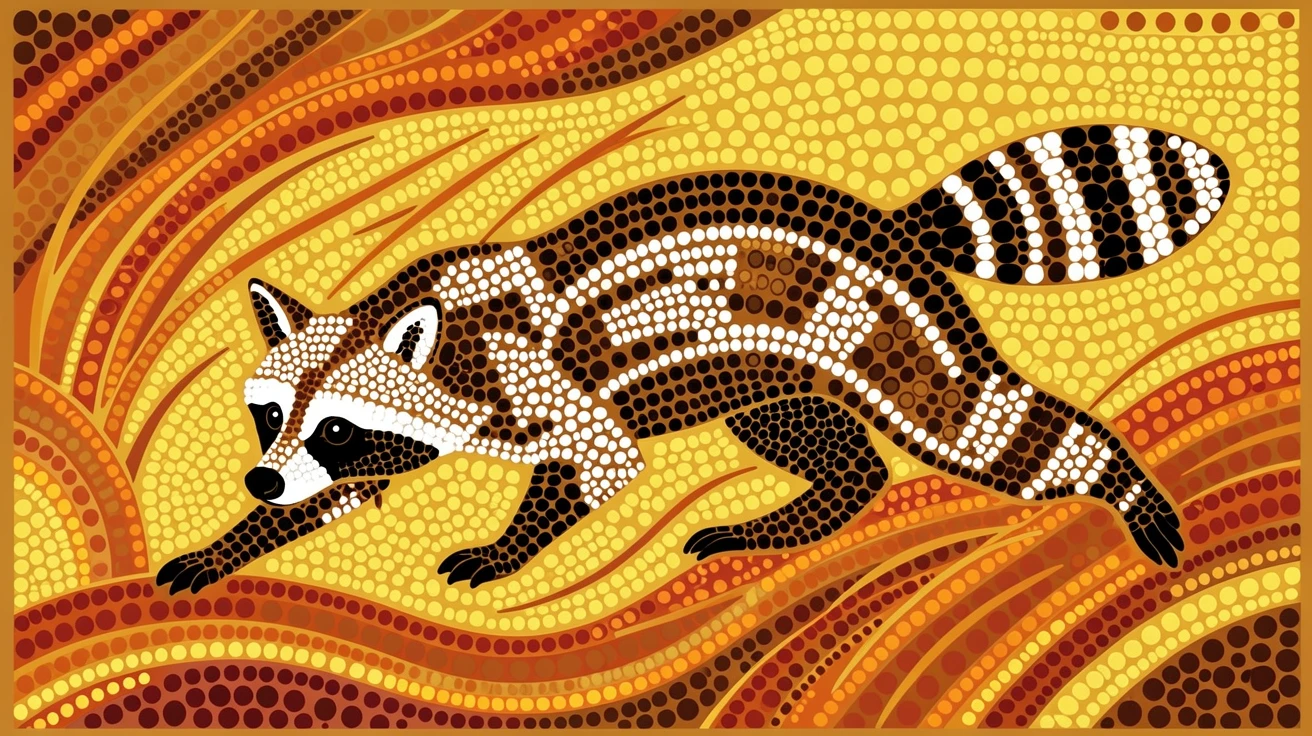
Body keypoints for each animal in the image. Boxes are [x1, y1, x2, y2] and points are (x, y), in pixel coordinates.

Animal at [157, 124, 1227, 594]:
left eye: (339, 425)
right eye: (269, 416)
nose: (257, 479)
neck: (421, 328)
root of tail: (890, 225)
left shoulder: (533, 374)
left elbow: (601, 460)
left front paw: (506, 546)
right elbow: (335, 501)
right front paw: (234, 542)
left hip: (885, 329)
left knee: (970, 423)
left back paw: (1119, 481)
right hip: (775, 369)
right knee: (836, 451)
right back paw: (799, 514)